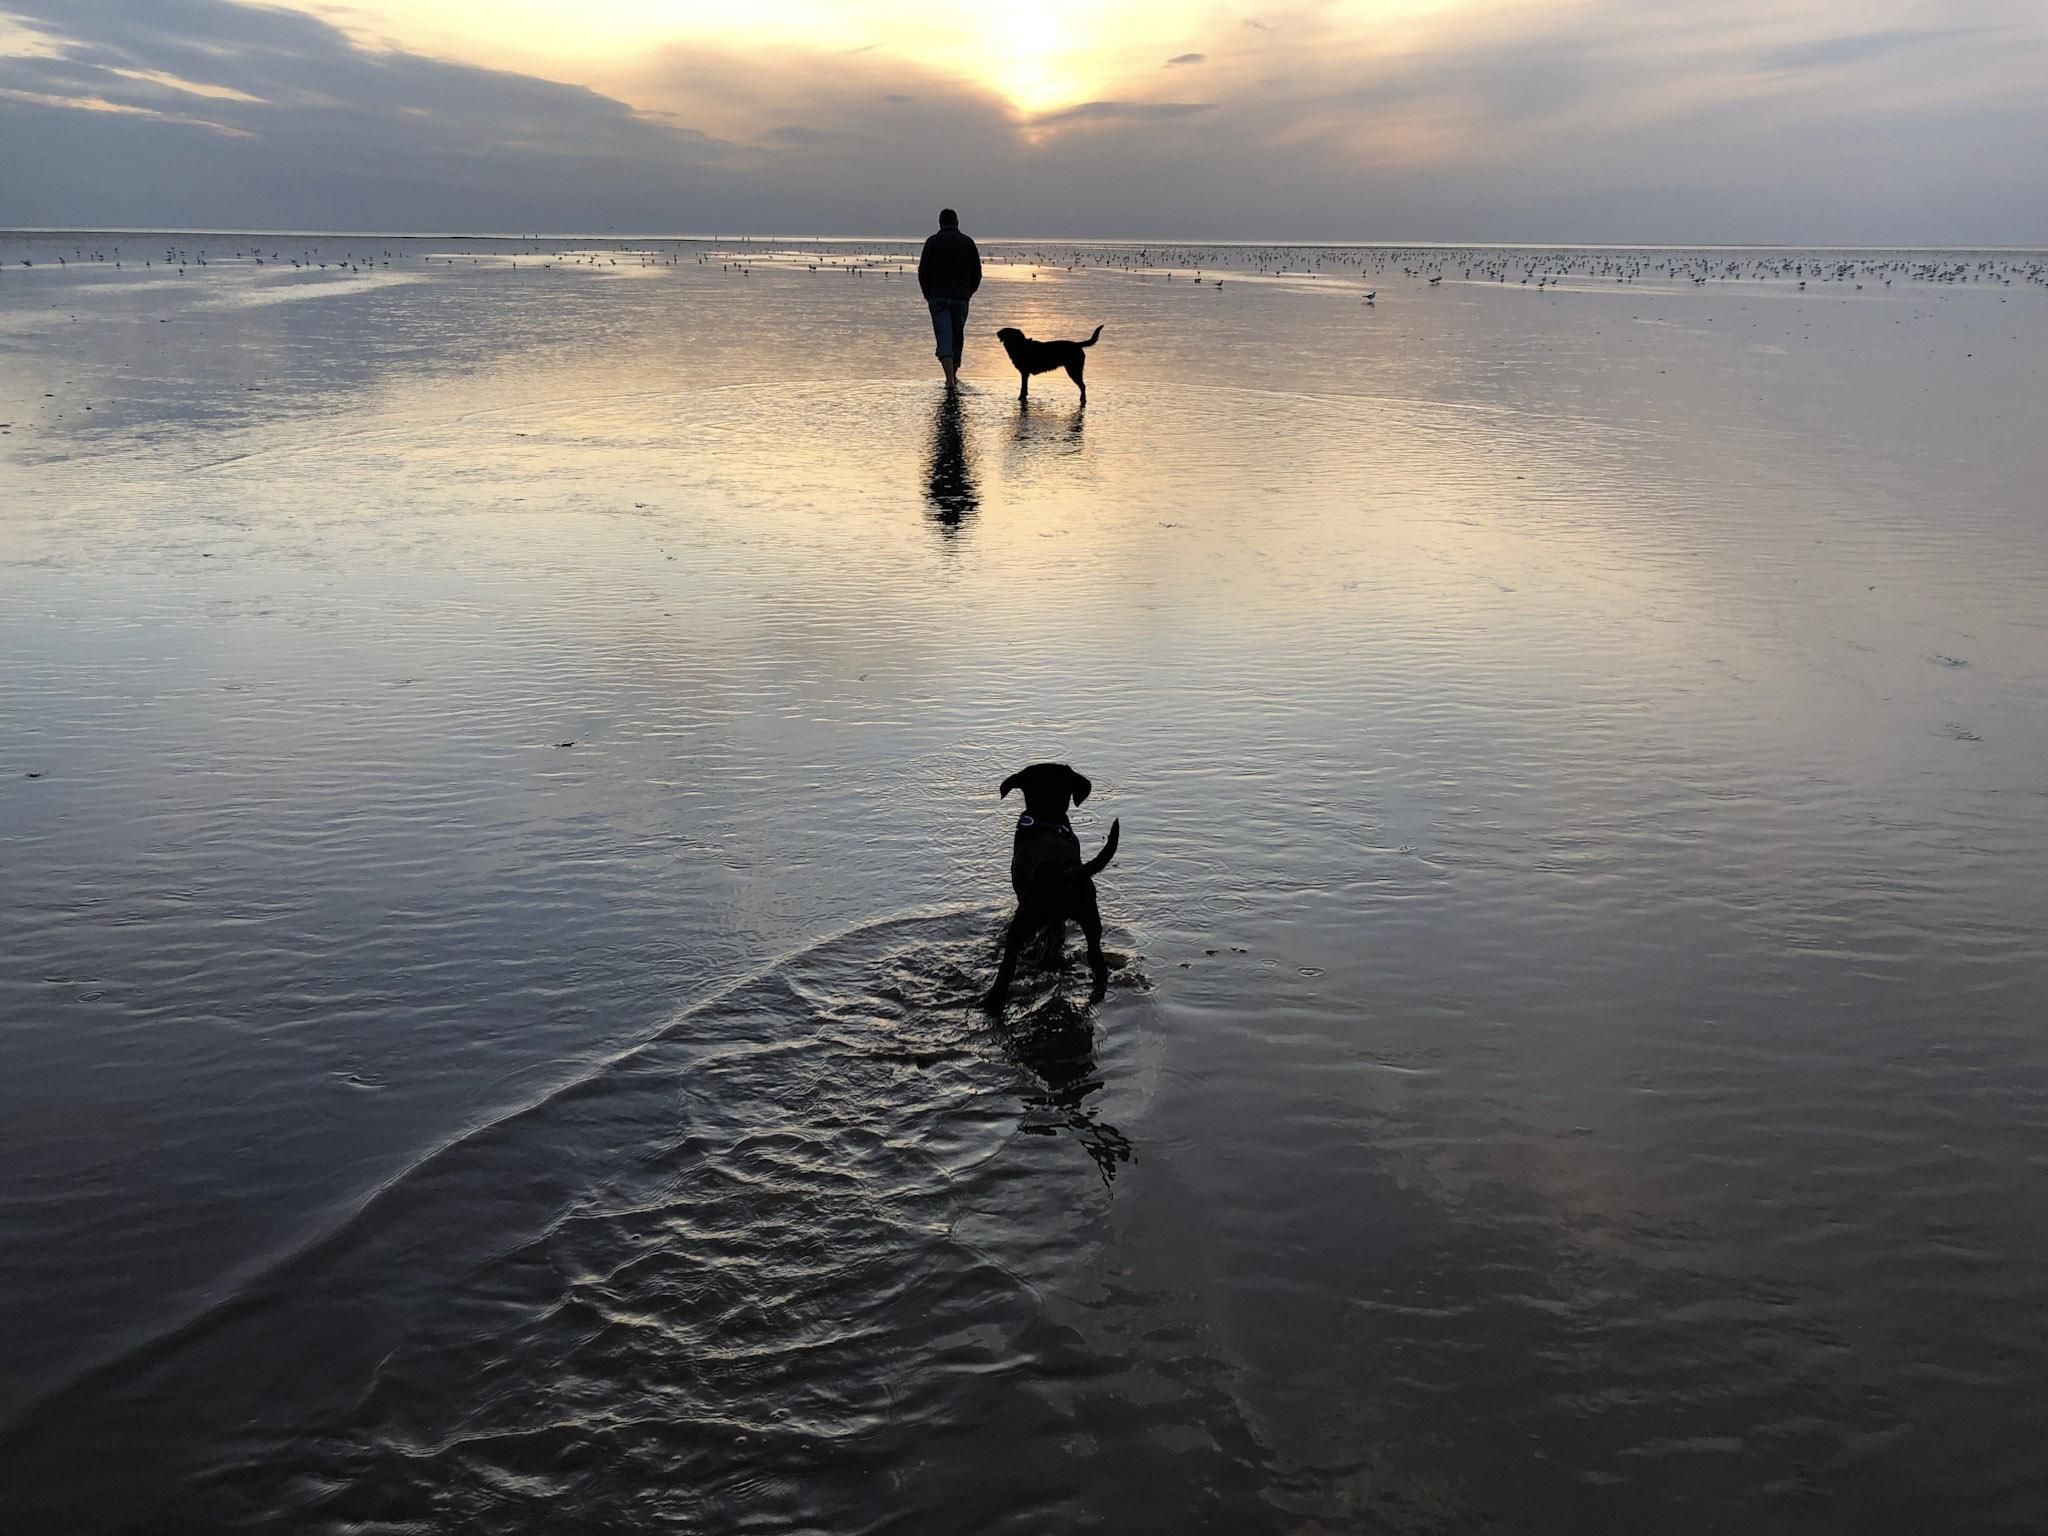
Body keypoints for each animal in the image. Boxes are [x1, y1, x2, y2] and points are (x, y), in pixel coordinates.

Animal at [987, 761, 1122, 1011]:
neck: (1047, 817)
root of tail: (1067, 872)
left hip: (1023, 920)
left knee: (1007, 967)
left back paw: (991, 1002)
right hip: (1090, 919)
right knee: (1095, 959)